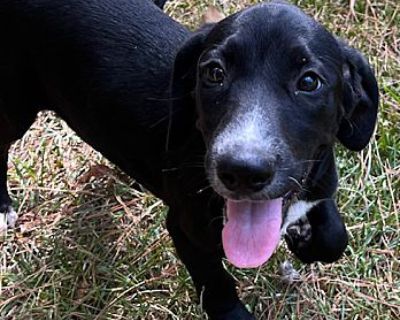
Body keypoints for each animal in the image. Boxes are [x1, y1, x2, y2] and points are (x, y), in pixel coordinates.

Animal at [0, 1, 378, 318]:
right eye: (214, 73)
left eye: (309, 81)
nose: (242, 171)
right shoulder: (185, 228)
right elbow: (217, 285)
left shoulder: (319, 181)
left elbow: (335, 238)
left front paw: (304, 238)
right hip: (15, 106)